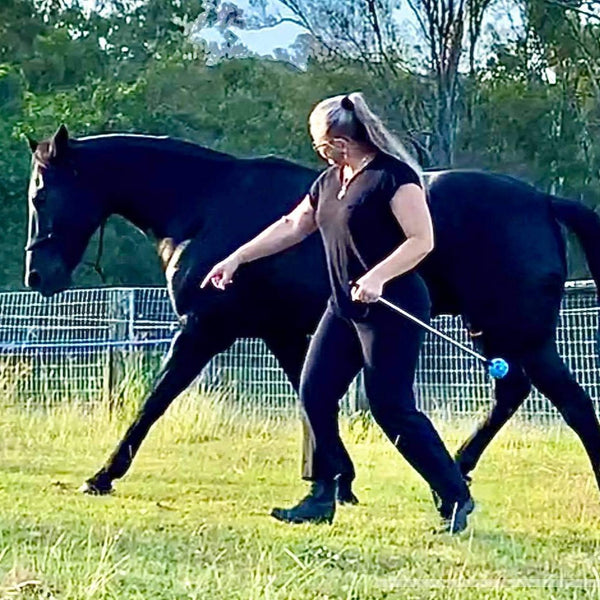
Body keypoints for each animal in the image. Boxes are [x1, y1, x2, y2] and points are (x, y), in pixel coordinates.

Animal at [25, 125, 600, 496]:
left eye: (40, 196)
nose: (37, 277)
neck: (205, 205)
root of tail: (543, 202)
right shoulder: (281, 333)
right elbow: (310, 396)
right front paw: (338, 480)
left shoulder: (204, 329)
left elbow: (155, 401)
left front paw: (102, 476)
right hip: (497, 333)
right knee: (513, 392)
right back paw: (459, 466)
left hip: (520, 335)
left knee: (573, 406)